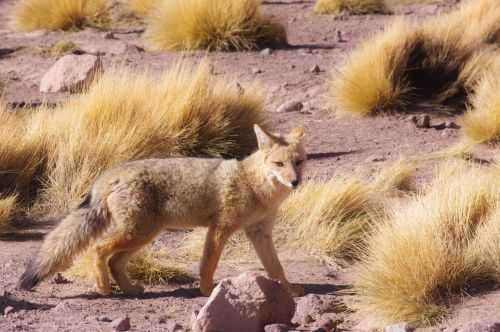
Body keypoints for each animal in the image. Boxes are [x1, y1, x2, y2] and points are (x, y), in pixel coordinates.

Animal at [17, 123, 306, 296]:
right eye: (279, 164)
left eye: (298, 162)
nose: (295, 182)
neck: (255, 186)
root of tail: (109, 174)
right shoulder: (220, 229)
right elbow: (208, 264)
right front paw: (207, 291)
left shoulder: (259, 233)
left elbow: (276, 268)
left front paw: (289, 290)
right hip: (138, 233)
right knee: (99, 250)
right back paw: (104, 288)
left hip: (143, 235)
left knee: (114, 261)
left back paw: (130, 289)